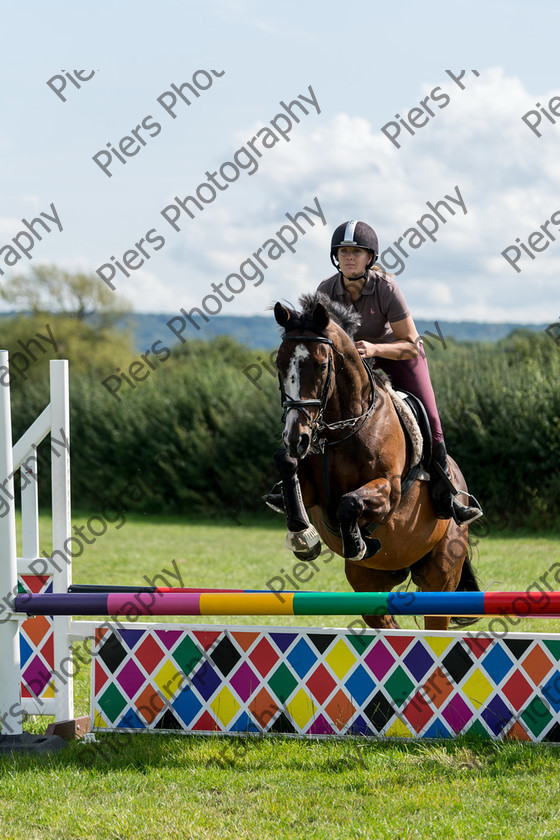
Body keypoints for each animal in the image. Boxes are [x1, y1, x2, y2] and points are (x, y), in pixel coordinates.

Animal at [272, 294, 476, 632]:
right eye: (279, 363)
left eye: (322, 365)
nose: (295, 437)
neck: (344, 427)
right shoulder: (314, 491)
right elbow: (288, 471)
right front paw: (303, 538)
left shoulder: (388, 492)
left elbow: (350, 503)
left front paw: (357, 544)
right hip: (370, 583)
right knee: (385, 622)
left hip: (441, 574)